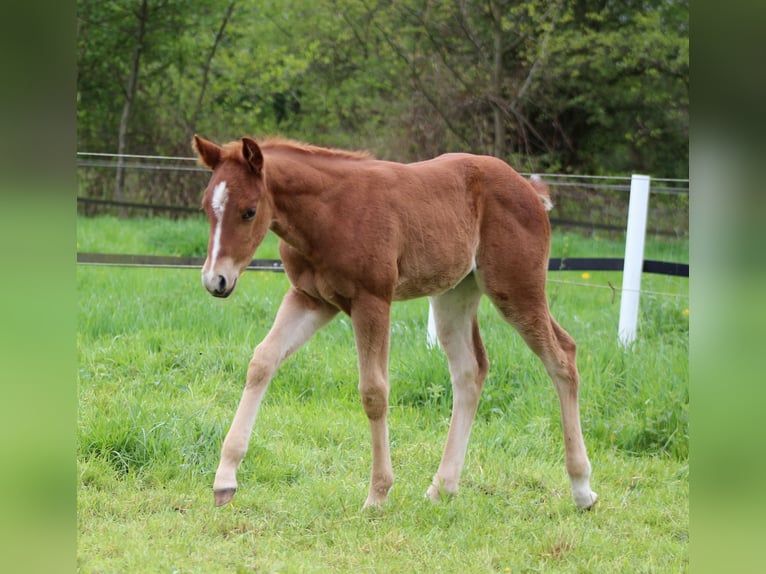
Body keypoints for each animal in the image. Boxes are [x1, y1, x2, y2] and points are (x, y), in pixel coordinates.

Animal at [192, 134, 597, 510]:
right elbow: (262, 361)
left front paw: (378, 494)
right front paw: (225, 480)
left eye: (248, 211)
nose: (216, 281)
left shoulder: (372, 301)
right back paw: (442, 487)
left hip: (516, 287)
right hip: (454, 294)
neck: (329, 213)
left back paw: (582, 489)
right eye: (207, 207)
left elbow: (374, 391)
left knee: (562, 356)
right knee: (471, 371)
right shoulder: (310, 299)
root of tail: (529, 189)